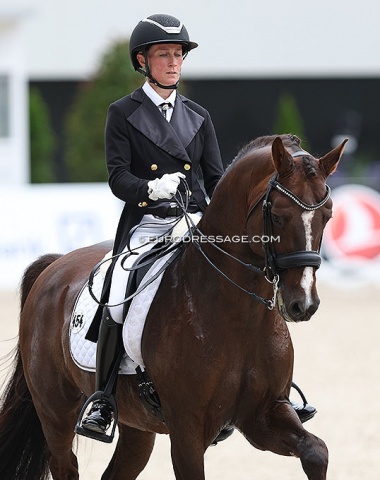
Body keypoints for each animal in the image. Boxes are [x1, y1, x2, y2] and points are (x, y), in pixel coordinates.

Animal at [0, 135, 346, 480]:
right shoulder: (186, 429)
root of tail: (54, 265)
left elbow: (316, 452)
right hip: (55, 412)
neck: (237, 317)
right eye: (278, 215)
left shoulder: (264, 414)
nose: (303, 304)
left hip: (137, 426)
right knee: (64, 462)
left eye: (327, 215)